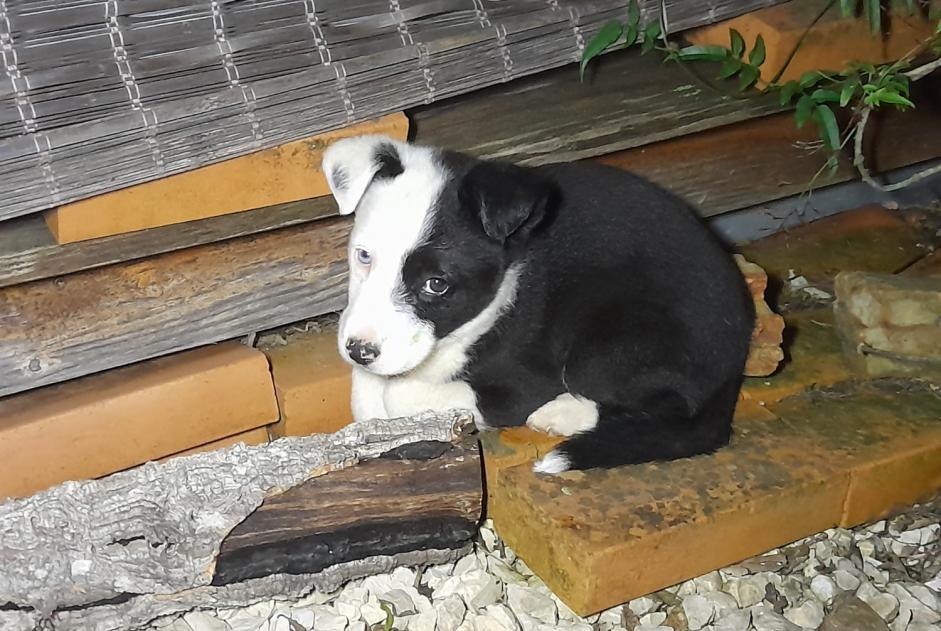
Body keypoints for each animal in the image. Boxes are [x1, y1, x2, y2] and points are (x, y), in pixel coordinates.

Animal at [320, 137, 752, 474]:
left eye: (436, 285)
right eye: (363, 256)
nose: (359, 350)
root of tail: (736, 361)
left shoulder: (521, 383)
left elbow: (401, 393)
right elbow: (366, 389)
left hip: (602, 350)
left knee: (667, 407)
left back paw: (562, 413)